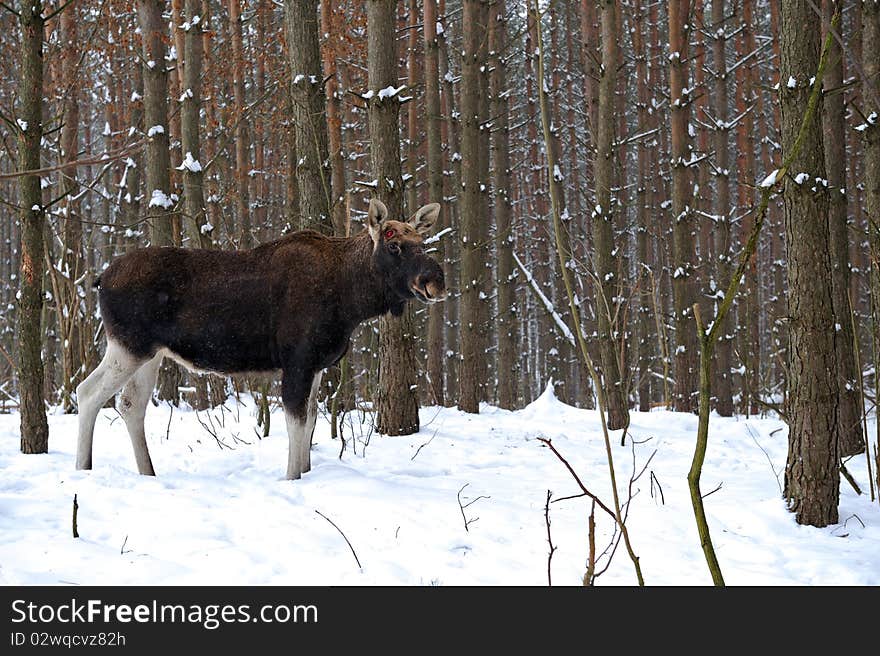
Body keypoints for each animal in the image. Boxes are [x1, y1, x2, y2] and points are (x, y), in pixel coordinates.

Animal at [74, 197, 446, 480]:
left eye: (422, 243)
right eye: (394, 244)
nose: (435, 281)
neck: (351, 299)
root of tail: (100, 278)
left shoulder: (318, 365)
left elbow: (311, 419)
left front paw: (305, 472)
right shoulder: (297, 361)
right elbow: (297, 423)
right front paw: (292, 477)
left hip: (149, 354)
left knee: (130, 405)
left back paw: (148, 473)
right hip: (128, 346)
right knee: (88, 391)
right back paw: (83, 468)